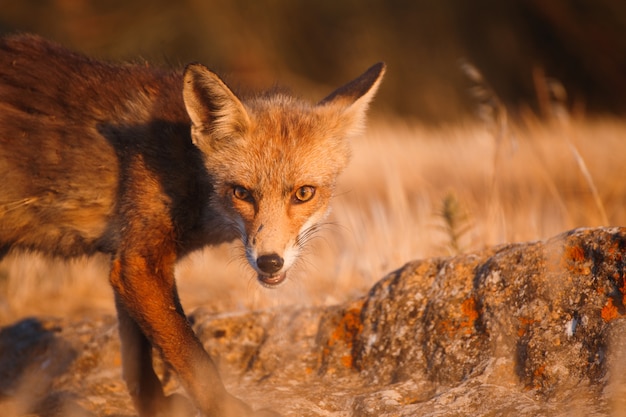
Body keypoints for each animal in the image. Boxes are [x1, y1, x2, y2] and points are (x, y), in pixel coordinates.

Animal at [0, 35, 382, 416]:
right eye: (241, 192)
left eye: (304, 193)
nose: (269, 262)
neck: (189, 167)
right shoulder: (139, 264)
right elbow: (191, 355)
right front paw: (225, 408)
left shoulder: (128, 253)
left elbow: (137, 353)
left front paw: (153, 406)